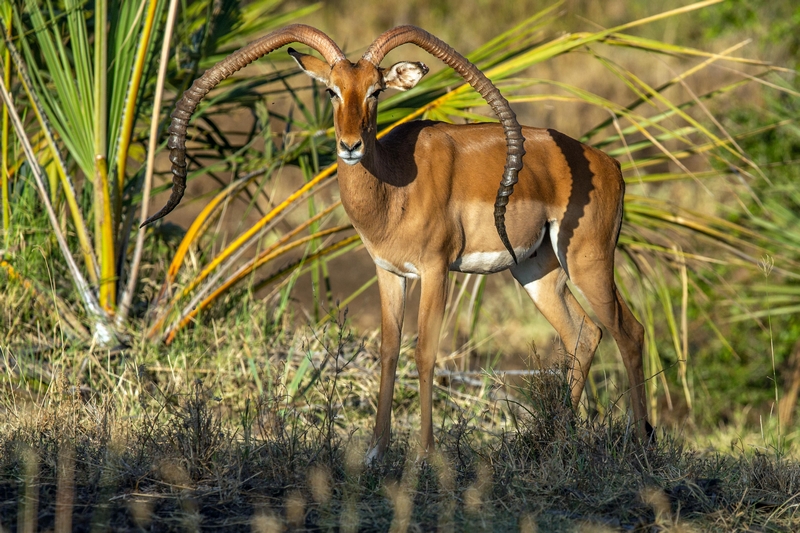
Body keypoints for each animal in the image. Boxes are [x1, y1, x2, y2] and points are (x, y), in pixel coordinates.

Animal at [145, 25, 656, 460]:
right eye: (331, 89)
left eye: (376, 90)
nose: (350, 146)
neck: (394, 185)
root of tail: (609, 163)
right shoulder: (389, 272)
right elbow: (389, 352)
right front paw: (375, 451)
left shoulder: (435, 271)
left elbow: (424, 352)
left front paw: (424, 454)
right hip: (535, 270)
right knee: (582, 336)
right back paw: (561, 440)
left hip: (587, 262)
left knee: (629, 332)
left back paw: (640, 442)